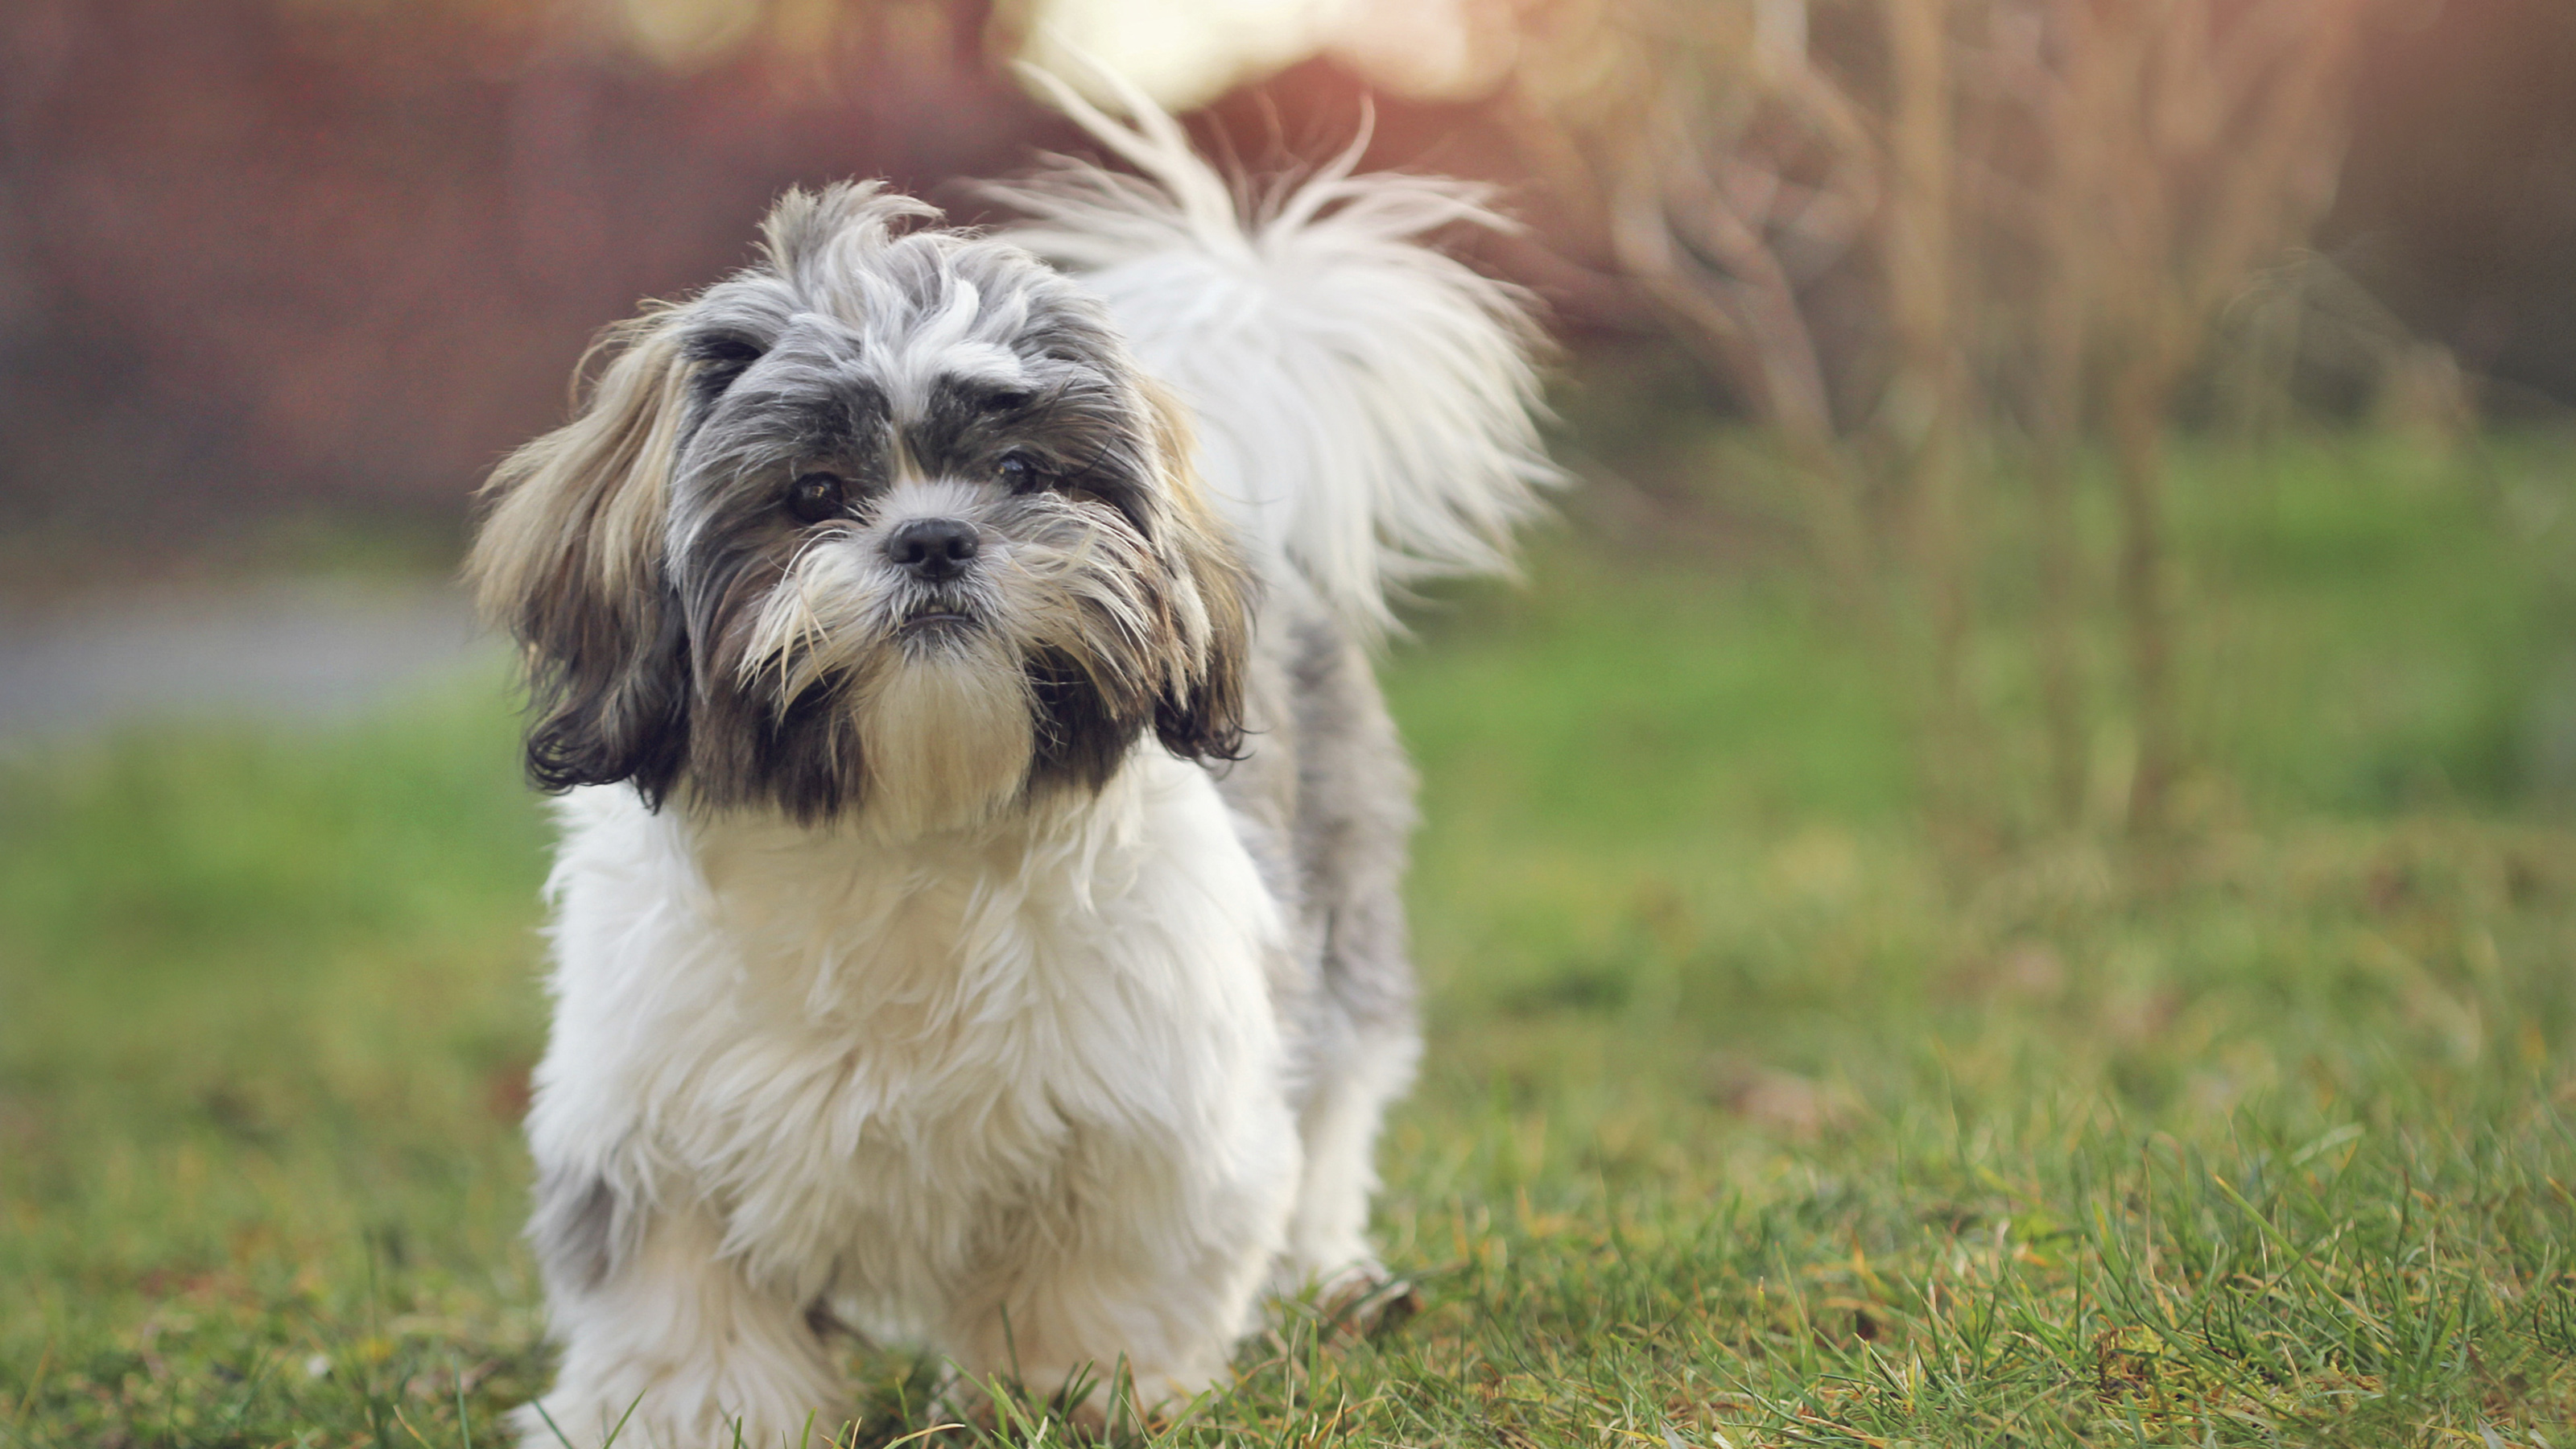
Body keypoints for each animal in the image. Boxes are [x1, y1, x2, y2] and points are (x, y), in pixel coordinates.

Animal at [464, 79, 1546, 1443]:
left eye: (1024, 472)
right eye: (812, 492)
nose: (934, 537)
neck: (905, 829)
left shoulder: (1148, 1116)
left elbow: (1099, 1279)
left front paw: (1079, 1393)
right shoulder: (652, 1127)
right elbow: (684, 1313)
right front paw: (686, 1418)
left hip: (1338, 932)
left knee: (1337, 1109)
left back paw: (1330, 1278)